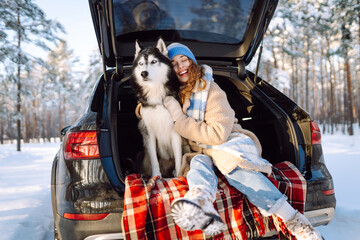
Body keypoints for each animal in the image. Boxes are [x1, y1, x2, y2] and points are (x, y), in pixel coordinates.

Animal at [130, 38, 183, 178]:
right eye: (141, 63)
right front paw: (156, 175)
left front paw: (179, 174)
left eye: (154, 61)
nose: (143, 73)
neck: (155, 91)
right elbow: (154, 160)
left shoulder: (175, 131)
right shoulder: (149, 133)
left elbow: (179, 157)